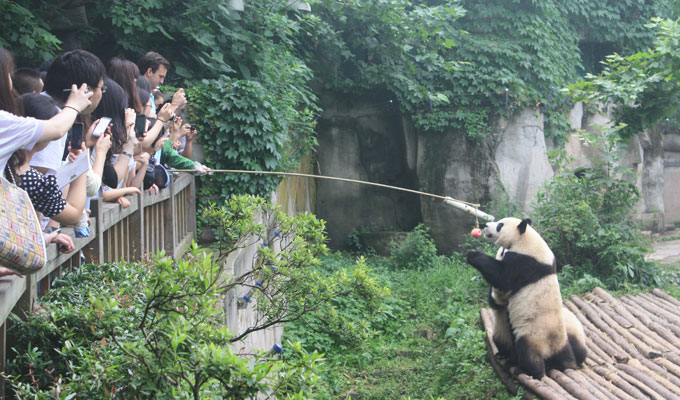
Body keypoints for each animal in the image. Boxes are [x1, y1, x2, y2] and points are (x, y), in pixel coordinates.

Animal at [468, 219, 588, 378]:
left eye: (500, 225)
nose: (486, 225)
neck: (523, 239)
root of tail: (551, 350)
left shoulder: (525, 262)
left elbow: (502, 276)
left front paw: (472, 254)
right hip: (556, 338)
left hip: (533, 334)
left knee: (528, 351)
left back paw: (526, 370)